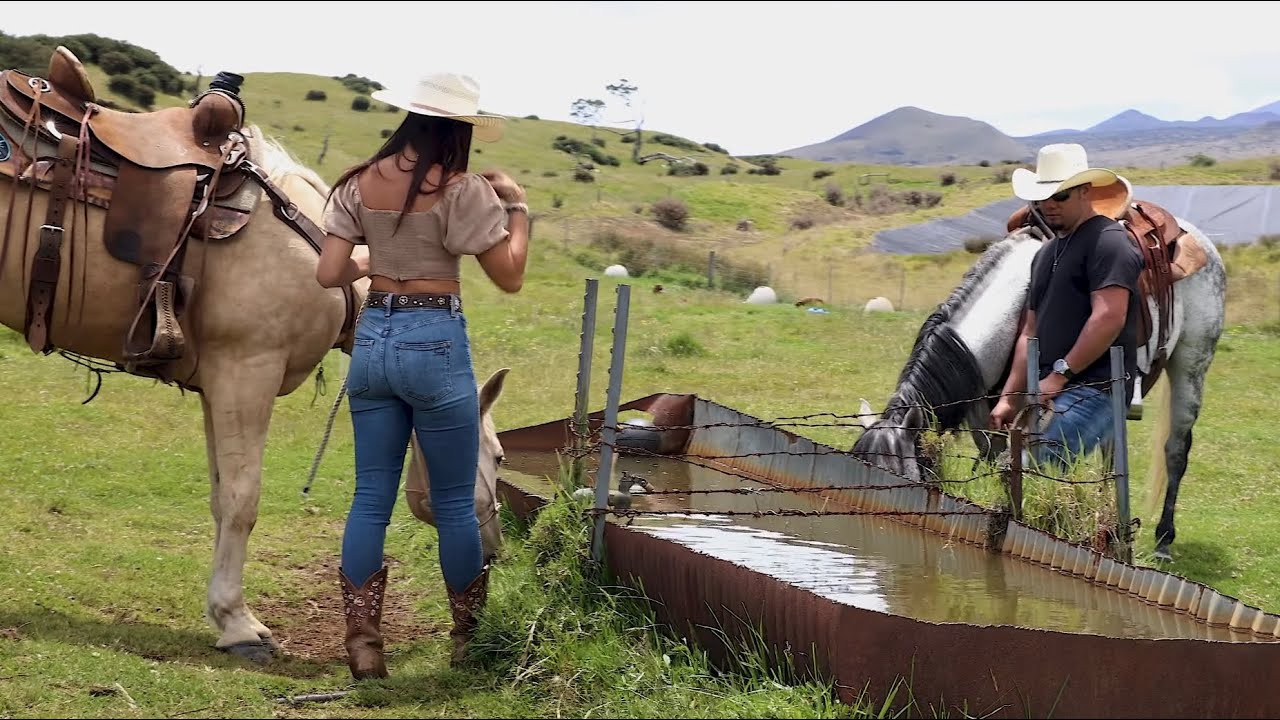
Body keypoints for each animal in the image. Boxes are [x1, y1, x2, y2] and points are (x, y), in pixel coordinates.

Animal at [855, 193, 1223, 563]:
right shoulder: (986, 418)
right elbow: (996, 464)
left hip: (1191, 364)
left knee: (1175, 450)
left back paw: (1163, 540)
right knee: (1111, 454)